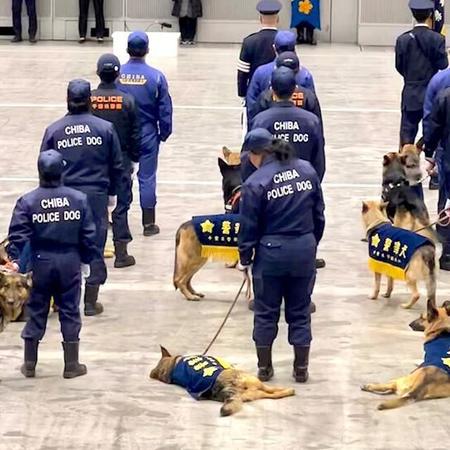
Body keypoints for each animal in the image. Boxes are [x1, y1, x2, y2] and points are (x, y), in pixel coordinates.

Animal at [149, 346, 296, 416]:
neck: (172, 366)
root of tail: (230, 388)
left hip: (256, 391)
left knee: (274, 394)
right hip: (255, 383)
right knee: (272, 390)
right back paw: (289, 390)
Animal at [172, 149, 250, 302]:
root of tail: (184, 225)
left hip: (198, 259)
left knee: (186, 279)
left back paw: (194, 293)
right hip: (194, 258)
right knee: (180, 279)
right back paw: (190, 296)